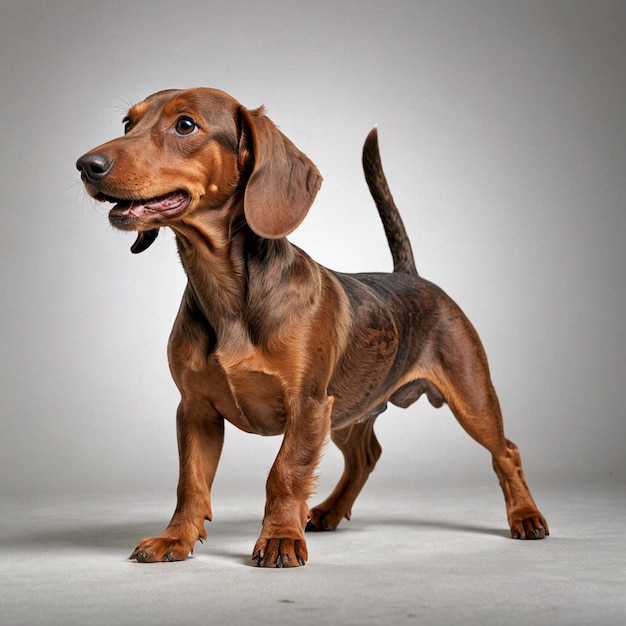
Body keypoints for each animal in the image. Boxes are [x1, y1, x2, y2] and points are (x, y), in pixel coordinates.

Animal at [77, 85, 544, 564]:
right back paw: (329, 511)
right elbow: (191, 482)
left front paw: (280, 538)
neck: (225, 294)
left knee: (506, 451)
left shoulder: (308, 405)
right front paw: (176, 538)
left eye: (185, 125)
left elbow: (286, 471)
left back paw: (526, 517)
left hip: (471, 398)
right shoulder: (196, 410)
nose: (86, 165)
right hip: (350, 409)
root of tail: (410, 276)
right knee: (366, 455)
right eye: (128, 123)